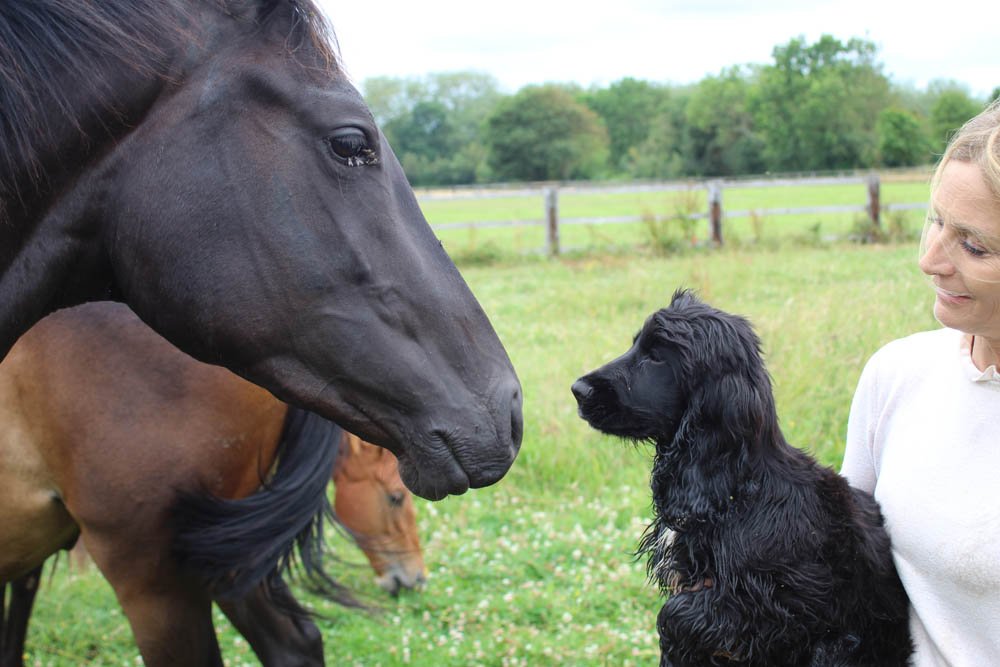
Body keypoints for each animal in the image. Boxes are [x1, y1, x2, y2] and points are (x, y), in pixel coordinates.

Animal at [572, 289, 912, 667]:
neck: (737, 492)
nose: (578, 389)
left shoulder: (786, 602)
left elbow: (676, 614)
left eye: (656, 358)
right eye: (635, 346)